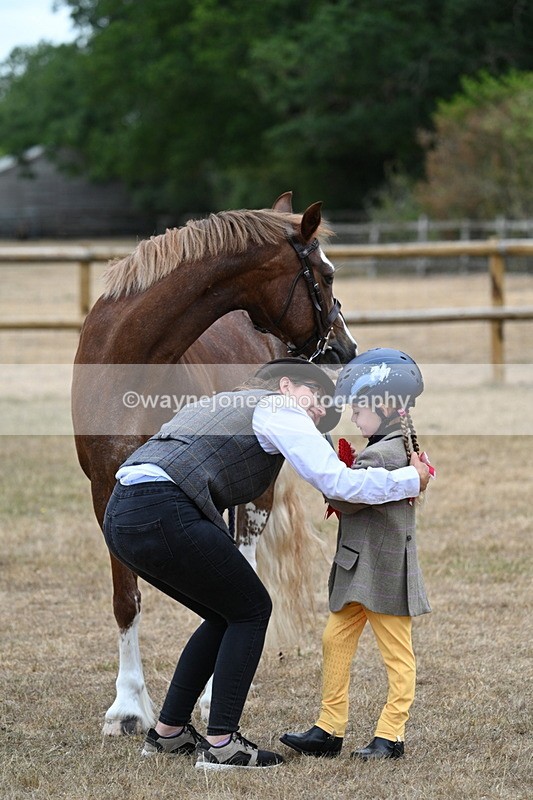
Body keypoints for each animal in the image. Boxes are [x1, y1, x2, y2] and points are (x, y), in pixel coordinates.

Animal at [72, 192, 357, 735]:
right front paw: (127, 707)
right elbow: (126, 600)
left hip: (255, 495)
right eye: (326, 275)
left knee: (244, 560)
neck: (132, 357)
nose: (343, 347)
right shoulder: (107, 490)